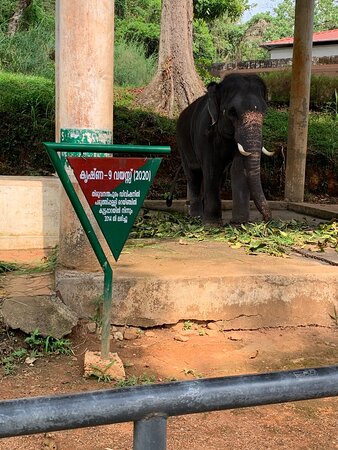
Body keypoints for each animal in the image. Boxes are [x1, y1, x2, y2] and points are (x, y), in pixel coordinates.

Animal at [176, 74, 274, 229]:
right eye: (232, 112)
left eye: (265, 111)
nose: (266, 220)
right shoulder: (205, 134)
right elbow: (211, 169)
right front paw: (212, 224)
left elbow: (238, 169)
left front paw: (239, 224)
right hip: (182, 143)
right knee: (193, 175)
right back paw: (196, 216)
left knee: (219, 176)